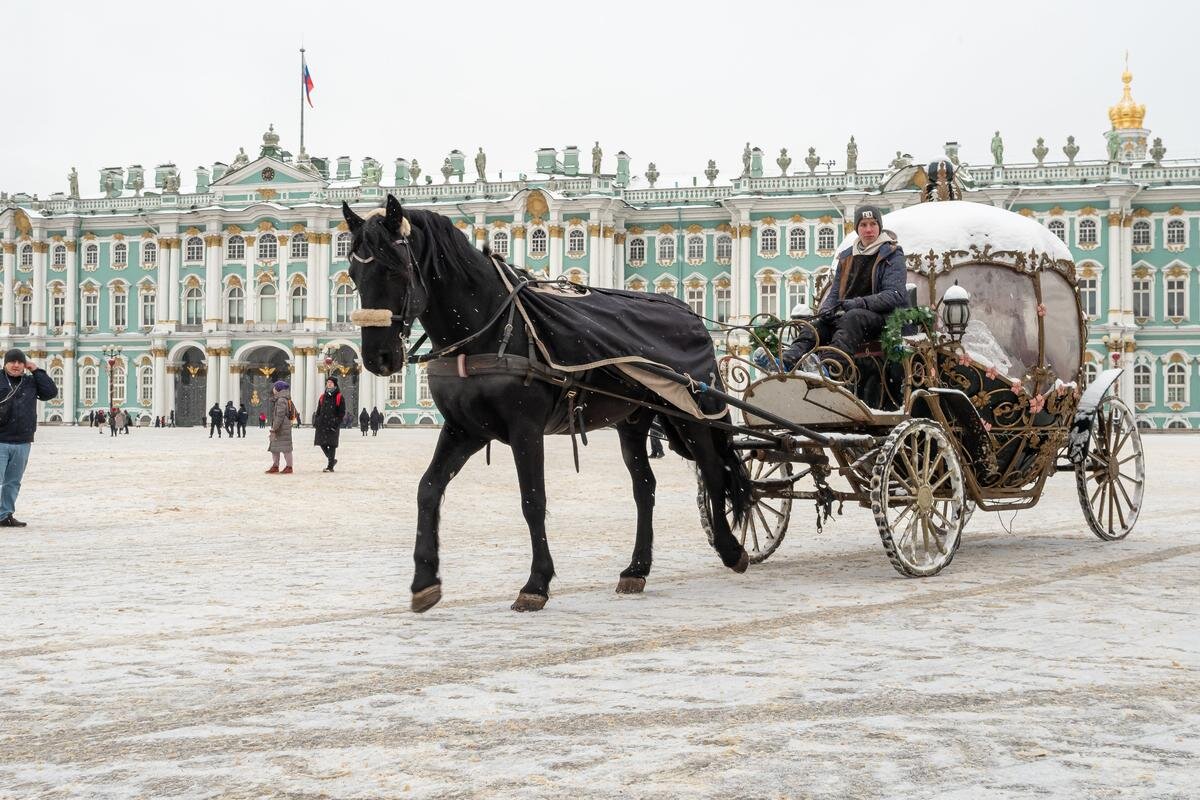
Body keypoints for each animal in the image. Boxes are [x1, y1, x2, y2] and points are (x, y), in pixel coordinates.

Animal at [343, 199, 744, 614]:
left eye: (396, 268)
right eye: (353, 273)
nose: (377, 358)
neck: (490, 326)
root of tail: (687, 312)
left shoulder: (525, 428)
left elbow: (533, 500)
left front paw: (536, 584)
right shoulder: (464, 428)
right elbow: (428, 489)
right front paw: (424, 582)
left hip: (694, 412)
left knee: (714, 471)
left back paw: (731, 549)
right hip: (634, 420)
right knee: (644, 487)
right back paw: (636, 569)